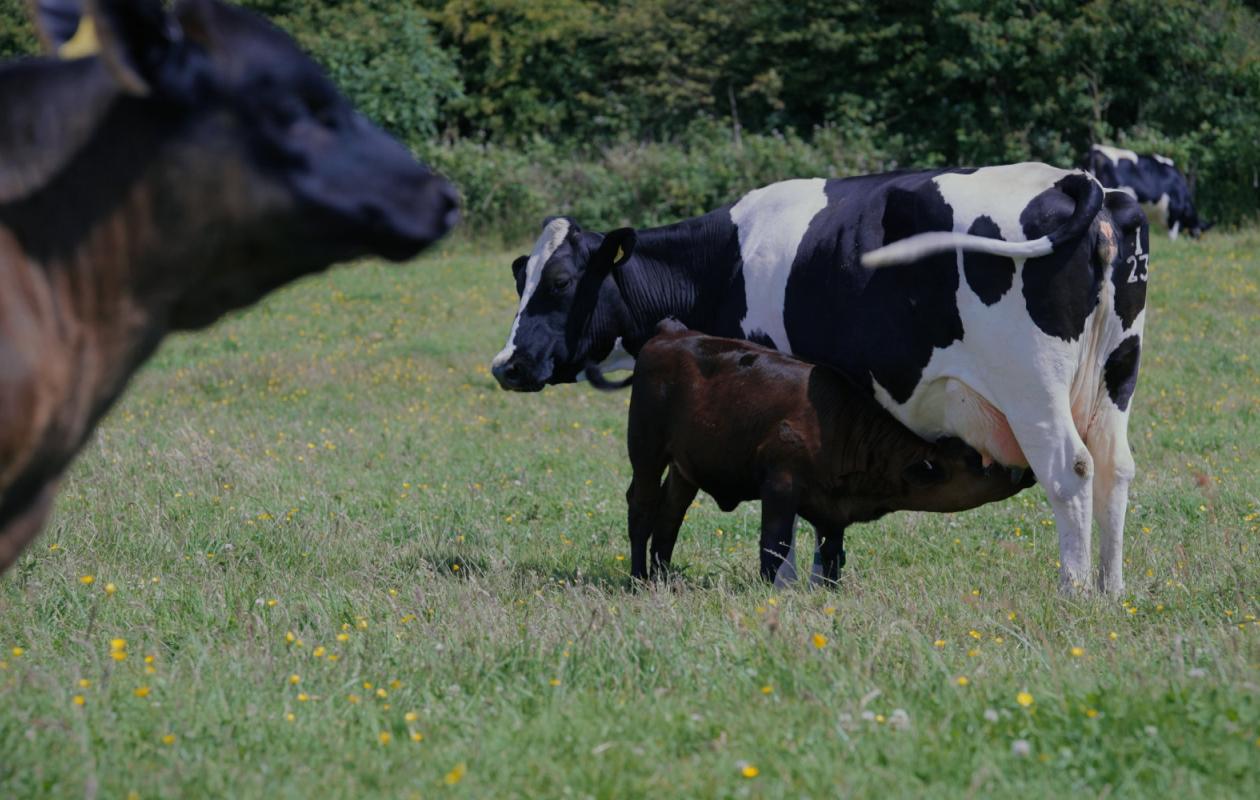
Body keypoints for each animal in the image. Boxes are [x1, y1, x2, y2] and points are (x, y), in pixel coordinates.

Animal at [603, 320, 1034, 584]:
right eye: (975, 462)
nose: (1025, 471)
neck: (840, 427)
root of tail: (670, 332)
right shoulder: (780, 485)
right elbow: (774, 547)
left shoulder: (833, 510)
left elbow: (831, 555)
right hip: (646, 451)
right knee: (641, 508)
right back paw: (639, 578)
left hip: (684, 468)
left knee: (670, 516)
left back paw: (663, 576)